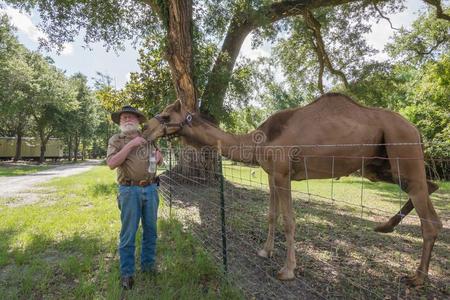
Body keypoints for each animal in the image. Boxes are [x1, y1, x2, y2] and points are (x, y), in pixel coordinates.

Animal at [142, 92, 442, 284]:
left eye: (166, 115)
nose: (145, 129)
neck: (258, 139)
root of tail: (416, 130)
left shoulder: (283, 173)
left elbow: (289, 220)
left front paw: (287, 270)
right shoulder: (271, 175)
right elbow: (271, 215)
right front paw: (265, 251)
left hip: (401, 147)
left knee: (429, 216)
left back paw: (416, 277)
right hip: (378, 166)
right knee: (431, 186)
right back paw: (386, 227)